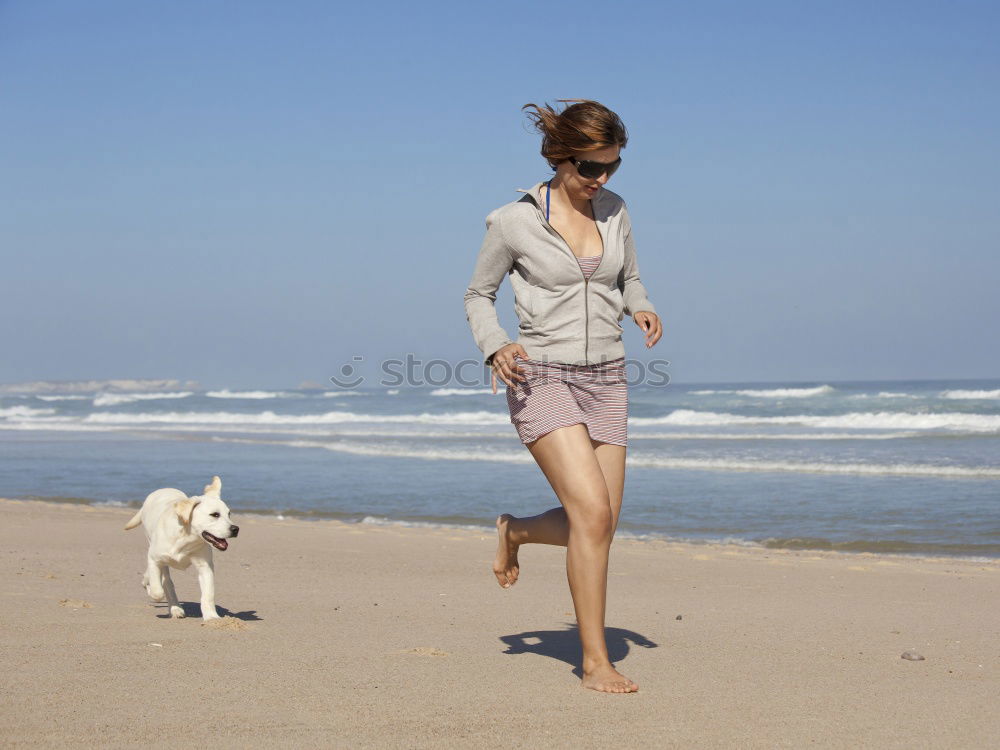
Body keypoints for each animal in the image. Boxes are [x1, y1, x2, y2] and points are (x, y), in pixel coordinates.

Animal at [124, 476, 238, 624]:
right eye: (215, 515)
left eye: (229, 514)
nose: (236, 529)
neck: (186, 539)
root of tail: (162, 489)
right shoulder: (155, 559)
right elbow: (158, 591)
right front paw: (153, 590)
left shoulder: (205, 566)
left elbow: (208, 594)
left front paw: (212, 617)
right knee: (166, 581)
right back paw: (174, 608)